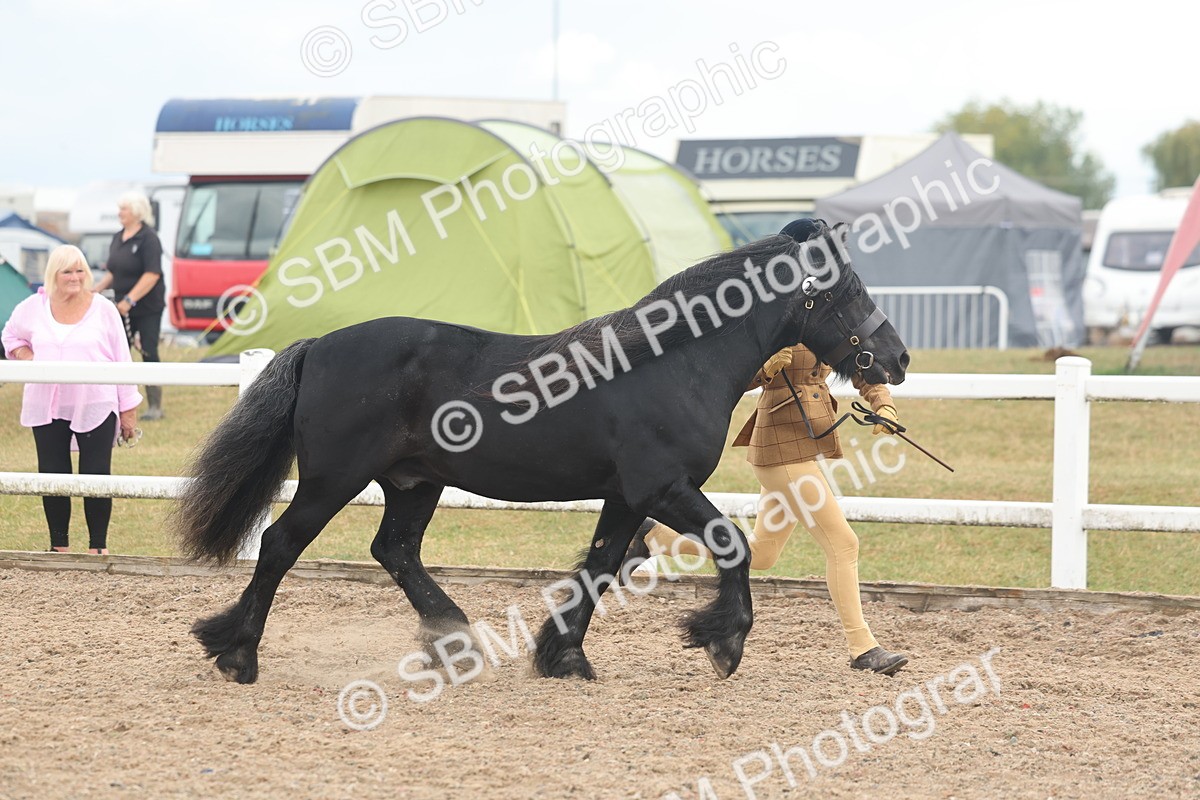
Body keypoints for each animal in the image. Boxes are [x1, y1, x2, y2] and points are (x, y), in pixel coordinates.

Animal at [174, 220, 909, 685]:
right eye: (846, 292)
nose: (898, 359)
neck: (674, 362)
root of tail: (318, 346)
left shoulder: (626, 496)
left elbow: (602, 565)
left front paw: (564, 656)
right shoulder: (663, 487)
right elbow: (731, 542)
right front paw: (721, 640)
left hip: (414, 482)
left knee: (395, 550)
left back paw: (455, 644)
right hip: (334, 478)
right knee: (280, 544)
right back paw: (237, 655)